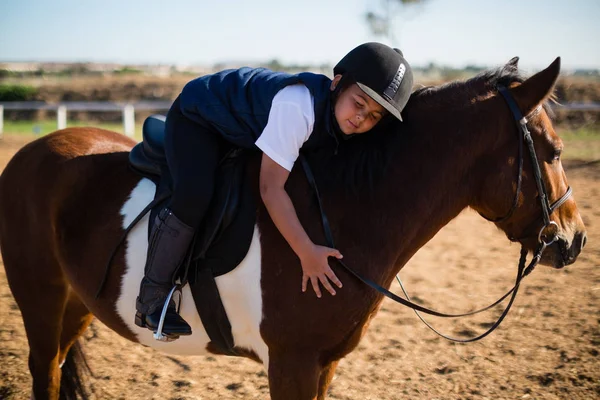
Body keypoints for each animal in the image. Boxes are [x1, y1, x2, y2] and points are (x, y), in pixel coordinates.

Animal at [0, 57, 588, 400]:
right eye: (555, 151)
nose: (575, 240)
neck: (344, 209)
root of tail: (32, 151)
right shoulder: (291, 363)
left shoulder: (321, 366)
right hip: (41, 298)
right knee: (43, 370)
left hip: (78, 303)